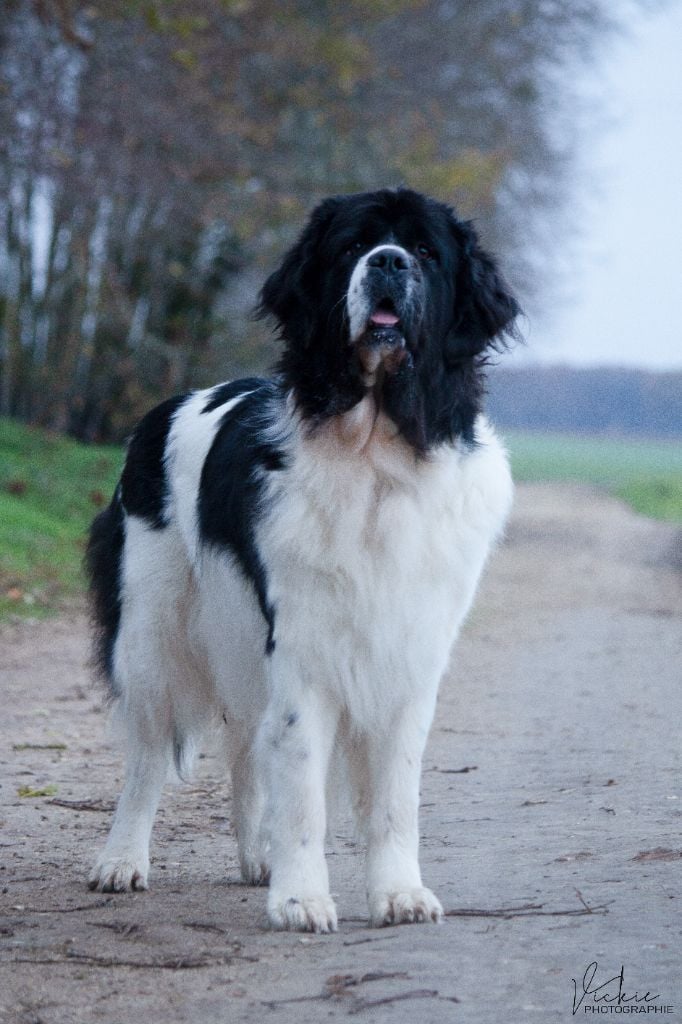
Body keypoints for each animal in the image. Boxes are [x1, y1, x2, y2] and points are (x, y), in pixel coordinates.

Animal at [86, 187, 519, 933]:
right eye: (352, 247)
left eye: (426, 250)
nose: (388, 261)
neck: (377, 453)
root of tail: (168, 406)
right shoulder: (304, 646)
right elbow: (303, 784)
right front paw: (301, 900)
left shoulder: (407, 651)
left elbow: (394, 794)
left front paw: (398, 894)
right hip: (152, 629)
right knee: (148, 754)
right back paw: (122, 861)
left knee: (242, 747)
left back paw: (255, 858)